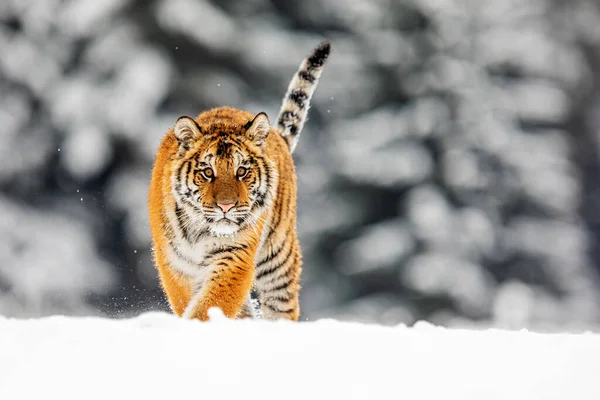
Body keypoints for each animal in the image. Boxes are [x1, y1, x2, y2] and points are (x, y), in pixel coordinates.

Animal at [147, 40, 330, 322]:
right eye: (207, 172)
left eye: (242, 171)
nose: (226, 206)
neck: (201, 231)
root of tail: (275, 135)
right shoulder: (175, 263)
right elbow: (187, 301)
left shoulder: (235, 255)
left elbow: (211, 304)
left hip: (279, 257)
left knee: (282, 306)